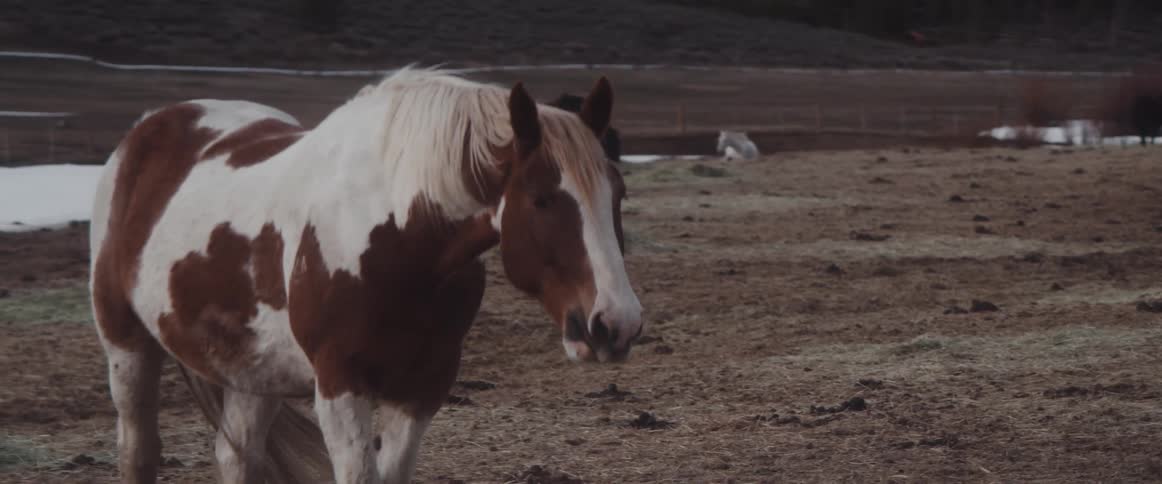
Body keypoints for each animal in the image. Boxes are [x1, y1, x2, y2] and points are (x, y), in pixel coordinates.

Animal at [89, 67, 644, 484]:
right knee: (138, 452)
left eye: (618, 193)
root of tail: (150, 129)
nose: (616, 323)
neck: (395, 239)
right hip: (127, 346)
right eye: (542, 199)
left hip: (254, 371)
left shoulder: (424, 386)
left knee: (235, 458)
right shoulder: (340, 385)